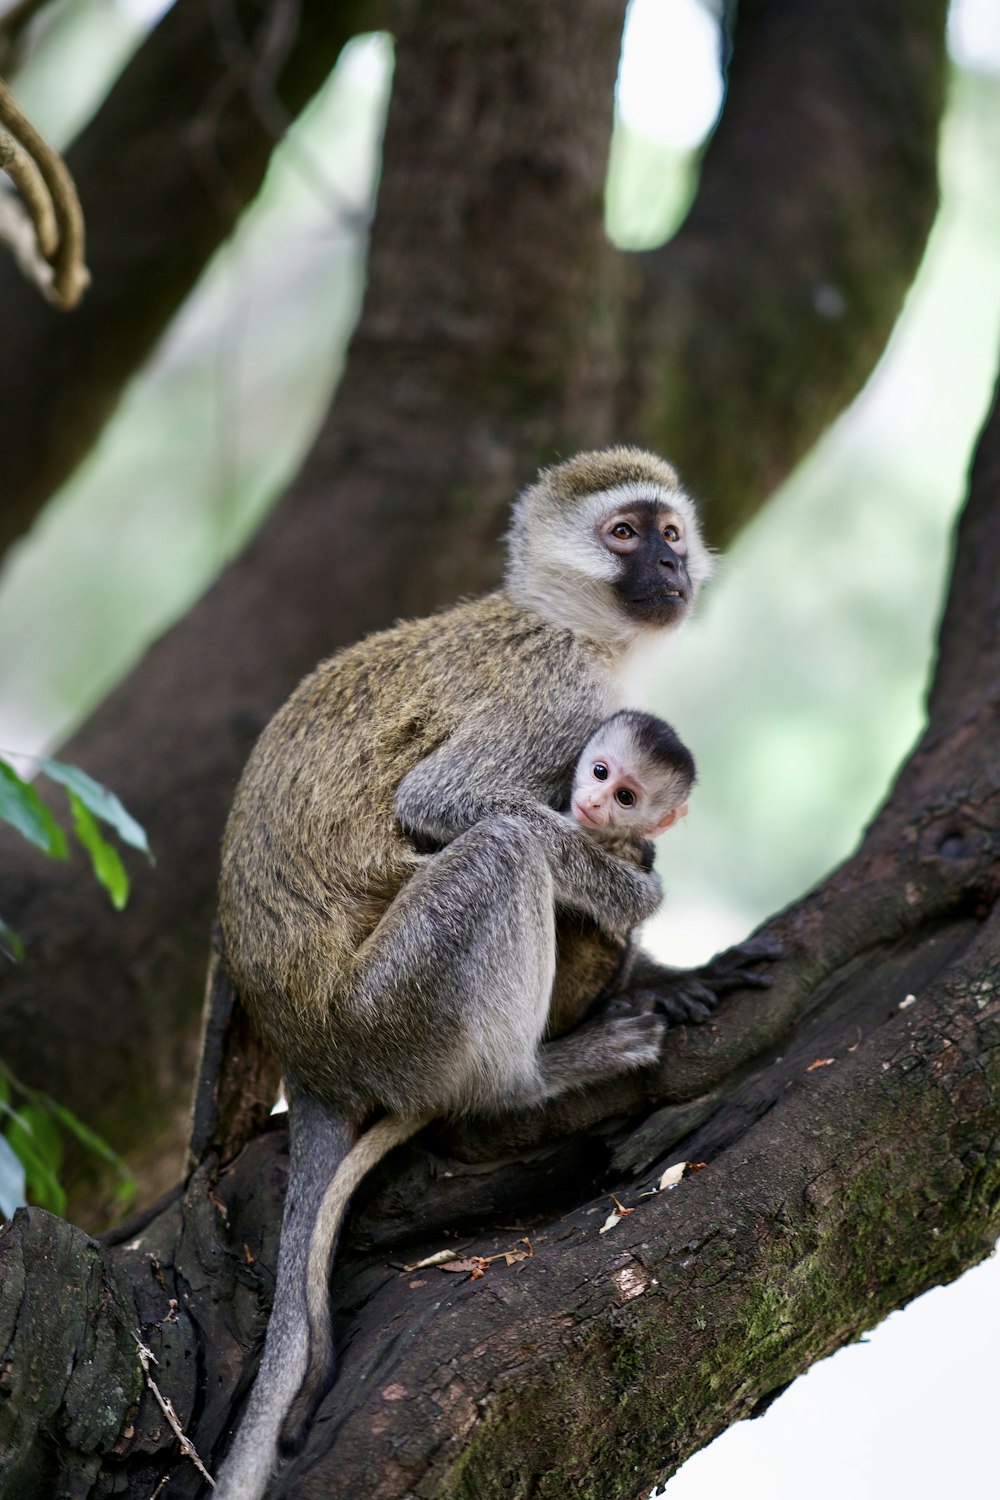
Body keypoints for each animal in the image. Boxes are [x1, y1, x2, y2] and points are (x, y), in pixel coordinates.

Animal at [212, 447, 758, 1500]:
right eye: (624, 534)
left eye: (671, 532)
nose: (670, 566)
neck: (571, 625)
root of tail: (310, 1055)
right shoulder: (555, 698)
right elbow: (444, 805)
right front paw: (634, 904)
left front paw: (664, 970)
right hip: (392, 1012)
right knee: (506, 847)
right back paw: (533, 1077)